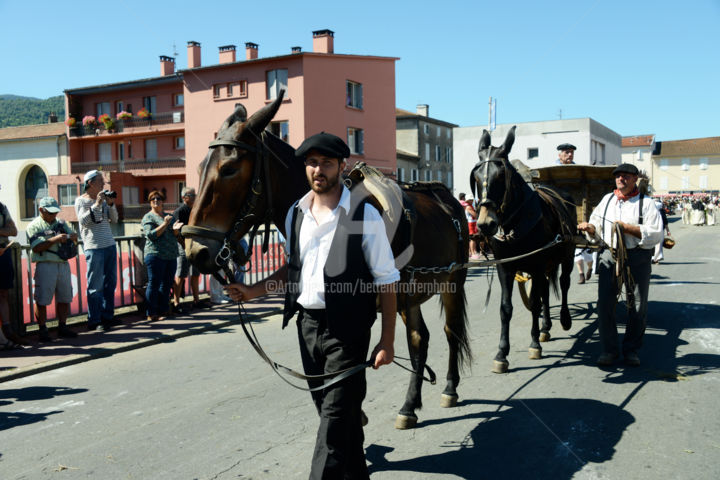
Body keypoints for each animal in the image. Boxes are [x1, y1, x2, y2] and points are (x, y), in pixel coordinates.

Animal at [470, 125, 576, 374]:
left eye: (501, 176)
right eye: (476, 177)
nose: (485, 224)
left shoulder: (536, 265)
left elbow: (535, 302)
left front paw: (534, 343)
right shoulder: (506, 268)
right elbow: (505, 308)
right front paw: (502, 353)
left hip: (566, 255)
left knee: (564, 283)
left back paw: (563, 319)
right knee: (546, 289)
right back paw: (546, 327)